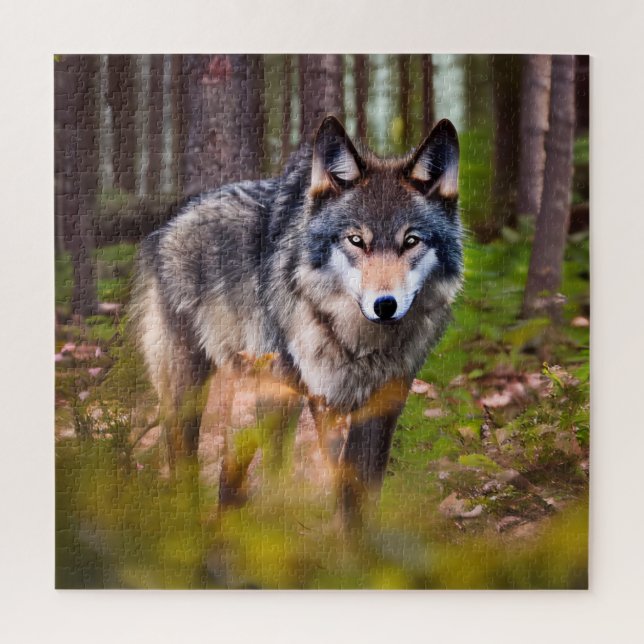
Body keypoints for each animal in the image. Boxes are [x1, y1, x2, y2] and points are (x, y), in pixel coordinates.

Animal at [131, 116, 463, 526]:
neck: (357, 347)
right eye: (356, 240)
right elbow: (239, 480)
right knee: (189, 463)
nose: (384, 305)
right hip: (201, 390)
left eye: (412, 241)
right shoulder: (290, 396)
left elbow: (358, 494)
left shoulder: (381, 406)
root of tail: (170, 221)